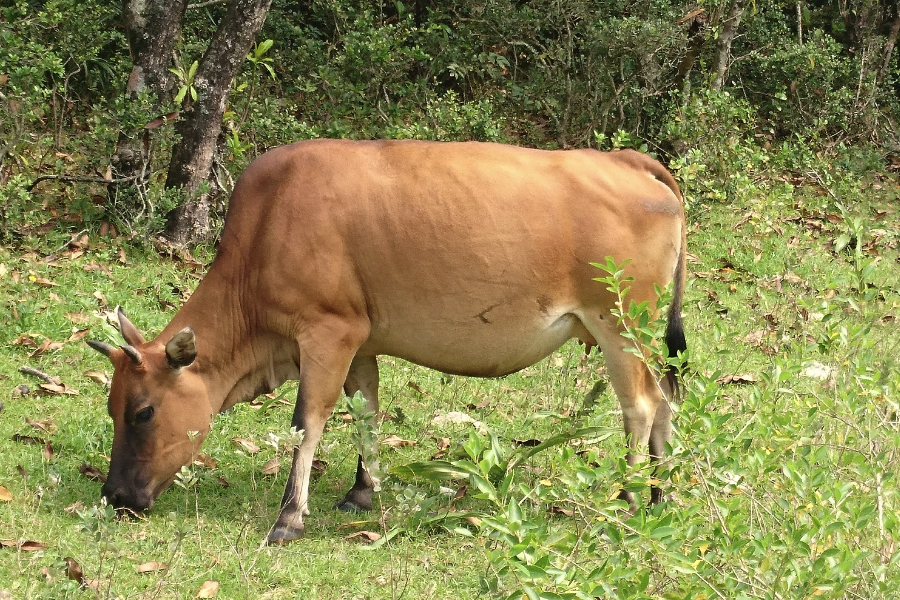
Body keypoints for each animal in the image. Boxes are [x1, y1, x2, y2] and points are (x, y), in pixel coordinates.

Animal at [86, 139, 688, 544]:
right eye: (113, 408)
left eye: (143, 412)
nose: (116, 496)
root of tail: (629, 159)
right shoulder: (362, 341)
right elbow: (366, 412)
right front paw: (361, 490)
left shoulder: (327, 331)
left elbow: (308, 421)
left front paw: (289, 517)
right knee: (666, 399)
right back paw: (659, 495)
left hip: (618, 322)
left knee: (639, 405)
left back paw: (627, 494)